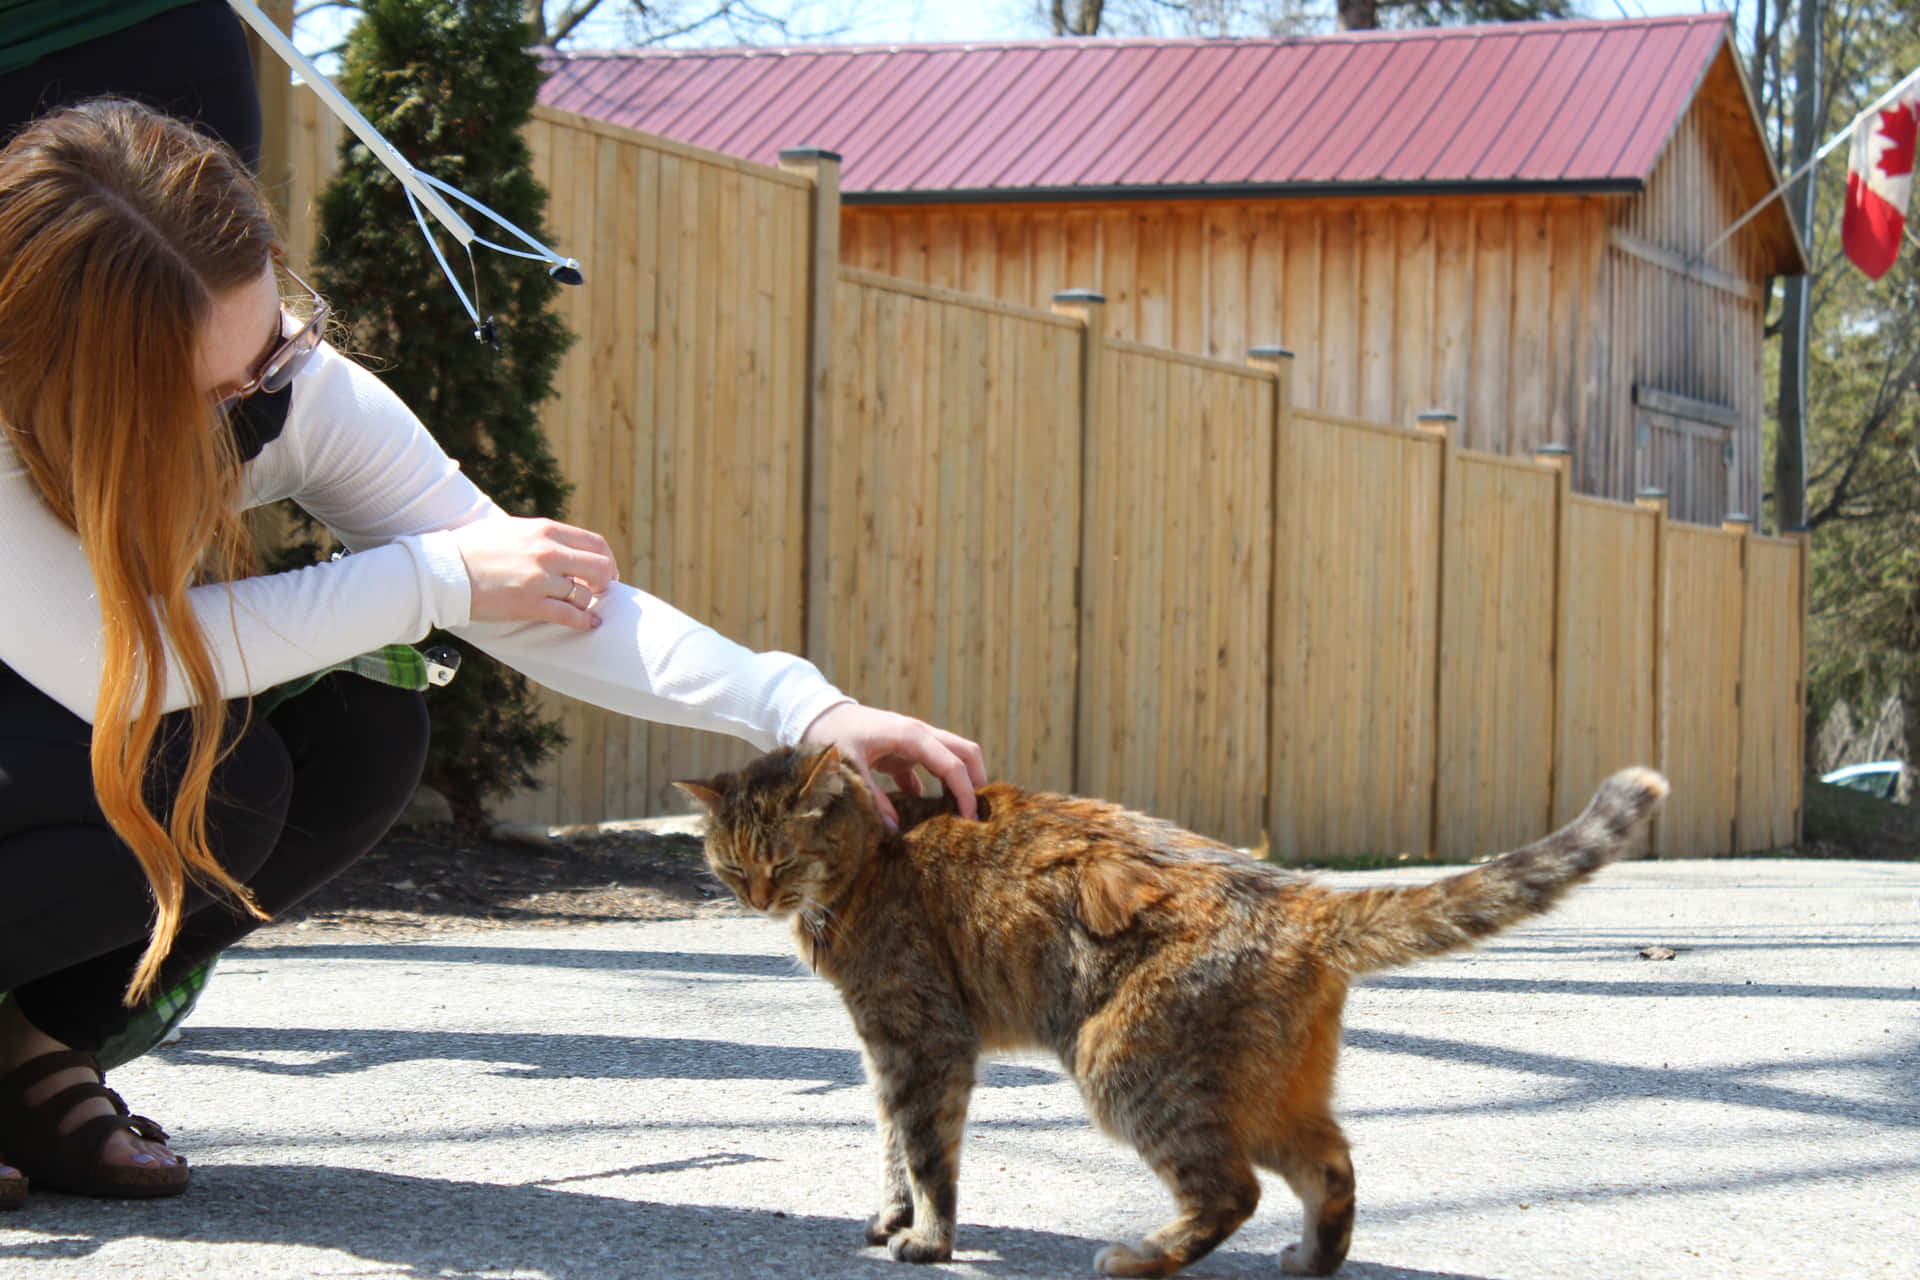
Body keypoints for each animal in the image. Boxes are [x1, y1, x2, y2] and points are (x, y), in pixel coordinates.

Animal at [679, 744, 1666, 1274]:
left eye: (780, 860)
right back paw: (1310, 1260)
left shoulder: (924, 1042)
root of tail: (1302, 899)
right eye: (730, 862)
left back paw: (1139, 1258)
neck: (876, 857)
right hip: (1265, 1095)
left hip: (1125, 1070)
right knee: (1332, 1164)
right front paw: (891, 1216)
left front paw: (927, 1239)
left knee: (1234, 1190)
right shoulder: (884, 1050)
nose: (753, 896)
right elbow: (889, 1142)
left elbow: (926, 1154)